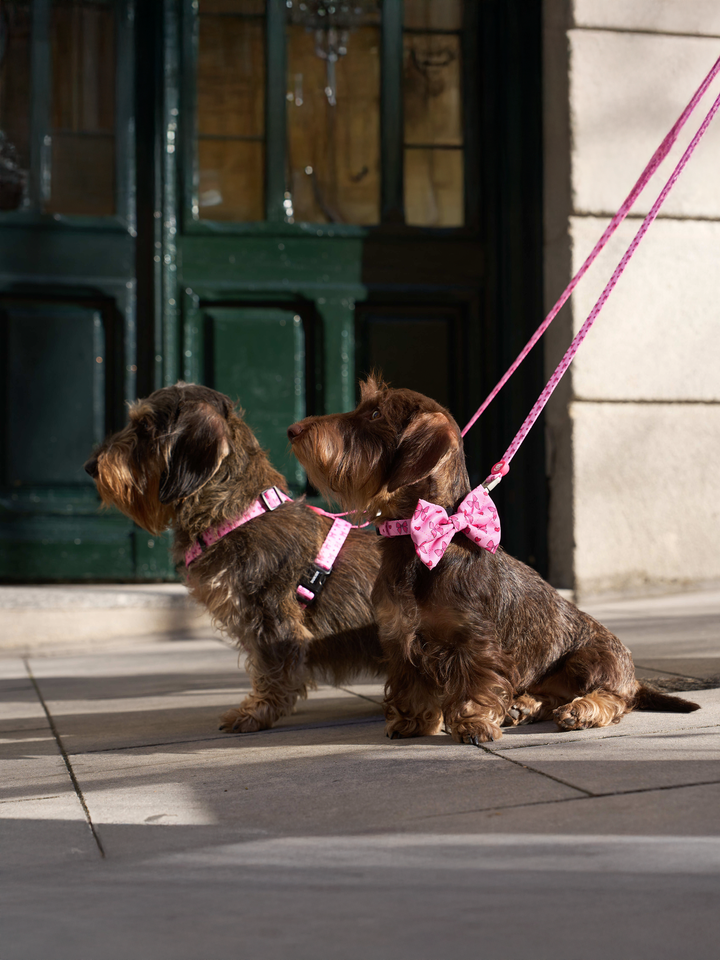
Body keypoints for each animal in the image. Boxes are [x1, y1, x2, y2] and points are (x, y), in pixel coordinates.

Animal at [86, 386, 382, 732]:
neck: (236, 515)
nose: (90, 466)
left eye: (145, 426)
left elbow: (272, 667)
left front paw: (258, 711)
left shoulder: (270, 617)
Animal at [288, 378, 696, 748]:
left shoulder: (475, 643)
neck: (420, 542)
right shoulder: (399, 637)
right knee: (550, 697)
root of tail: (632, 675)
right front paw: (412, 722)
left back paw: (581, 710)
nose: (293, 430)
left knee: (615, 699)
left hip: (591, 659)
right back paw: (524, 706)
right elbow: (410, 685)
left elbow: (475, 686)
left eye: (374, 414)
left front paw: (473, 724)